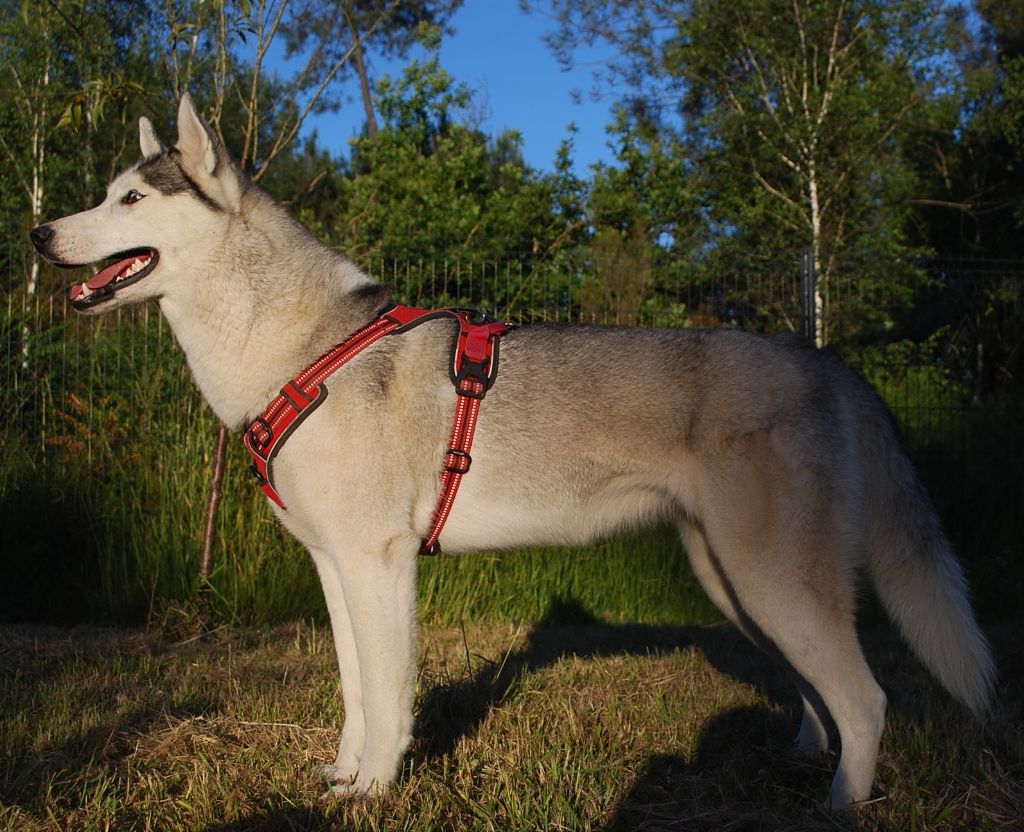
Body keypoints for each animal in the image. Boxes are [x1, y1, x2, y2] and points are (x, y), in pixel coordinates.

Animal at [31, 93, 994, 809]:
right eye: (105, 193)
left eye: (131, 201)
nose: (39, 234)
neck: (300, 345)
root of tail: (825, 360)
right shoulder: (335, 569)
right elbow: (352, 688)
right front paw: (340, 777)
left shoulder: (380, 566)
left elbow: (390, 694)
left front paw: (373, 791)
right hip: (737, 584)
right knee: (819, 699)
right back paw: (801, 769)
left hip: (772, 584)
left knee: (866, 699)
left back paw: (840, 805)